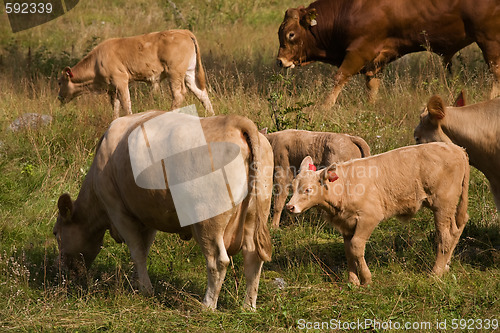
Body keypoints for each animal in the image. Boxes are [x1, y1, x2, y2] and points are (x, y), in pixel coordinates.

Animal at [53, 111, 274, 308]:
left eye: (56, 233)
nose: (62, 274)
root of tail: (236, 122)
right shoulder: (148, 215)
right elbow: (144, 249)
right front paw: (137, 283)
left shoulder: (118, 211)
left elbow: (137, 251)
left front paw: (145, 289)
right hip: (254, 216)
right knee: (253, 258)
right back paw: (248, 306)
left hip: (208, 221)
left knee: (218, 261)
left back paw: (207, 305)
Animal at [57, 29, 214, 118]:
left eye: (59, 82)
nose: (59, 97)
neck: (96, 62)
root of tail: (184, 32)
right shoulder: (112, 89)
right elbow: (115, 108)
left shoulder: (121, 81)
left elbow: (126, 105)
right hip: (189, 74)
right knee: (201, 94)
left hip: (174, 73)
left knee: (179, 94)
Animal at [276, 0, 500, 106]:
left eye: (291, 34)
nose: (280, 61)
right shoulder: (375, 61)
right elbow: (372, 86)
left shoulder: (359, 51)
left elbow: (339, 78)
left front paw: (323, 108)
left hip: (489, 41)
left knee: (496, 75)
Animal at [286, 141, 468, 284]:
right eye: (293, 186)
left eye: (308, 189)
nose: (290, 207)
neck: (344, 186)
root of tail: (457, 149)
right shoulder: (346, 223)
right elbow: (348, 250)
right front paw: (353, 281)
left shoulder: (369, 217)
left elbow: (356, 246)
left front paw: (366, 279)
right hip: (449, 208)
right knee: (455, 230)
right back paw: (445, 266)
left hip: (443, 204)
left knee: (444, 236)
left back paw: (436, 272)